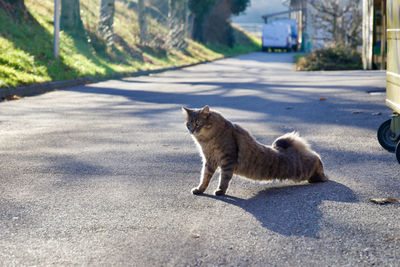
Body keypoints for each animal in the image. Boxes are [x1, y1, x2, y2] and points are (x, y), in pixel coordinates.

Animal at [183, 105, 326, 196]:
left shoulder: (227, 160)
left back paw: (321, 177)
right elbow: (204, 178)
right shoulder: (209, 161)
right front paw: (199, 190)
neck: (207, 140)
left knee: (316, 158)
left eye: (197, 123)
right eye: (188, 124)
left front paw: (220, 191)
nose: (192, 130)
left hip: (299, 170)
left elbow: (223, 179)